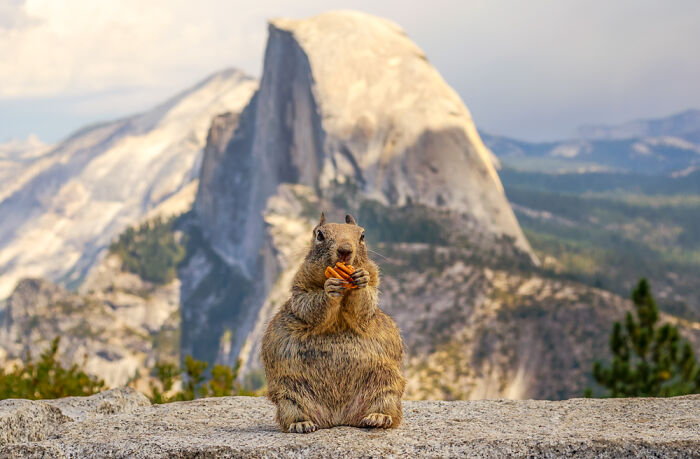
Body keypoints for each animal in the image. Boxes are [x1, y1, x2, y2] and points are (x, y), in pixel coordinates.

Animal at [261, 212, 406, 433]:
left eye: (362, 235)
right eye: (319, 234)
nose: (345, 250)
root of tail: (338, 418)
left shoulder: (374, 285)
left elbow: (366, 303)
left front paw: (360, 280)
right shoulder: (300, 287)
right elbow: (308, 305)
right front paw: (330, 288)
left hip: (387, 384)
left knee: (387, 407)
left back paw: (378, 417)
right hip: (288, 392)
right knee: (292, 412)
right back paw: (302, 423)